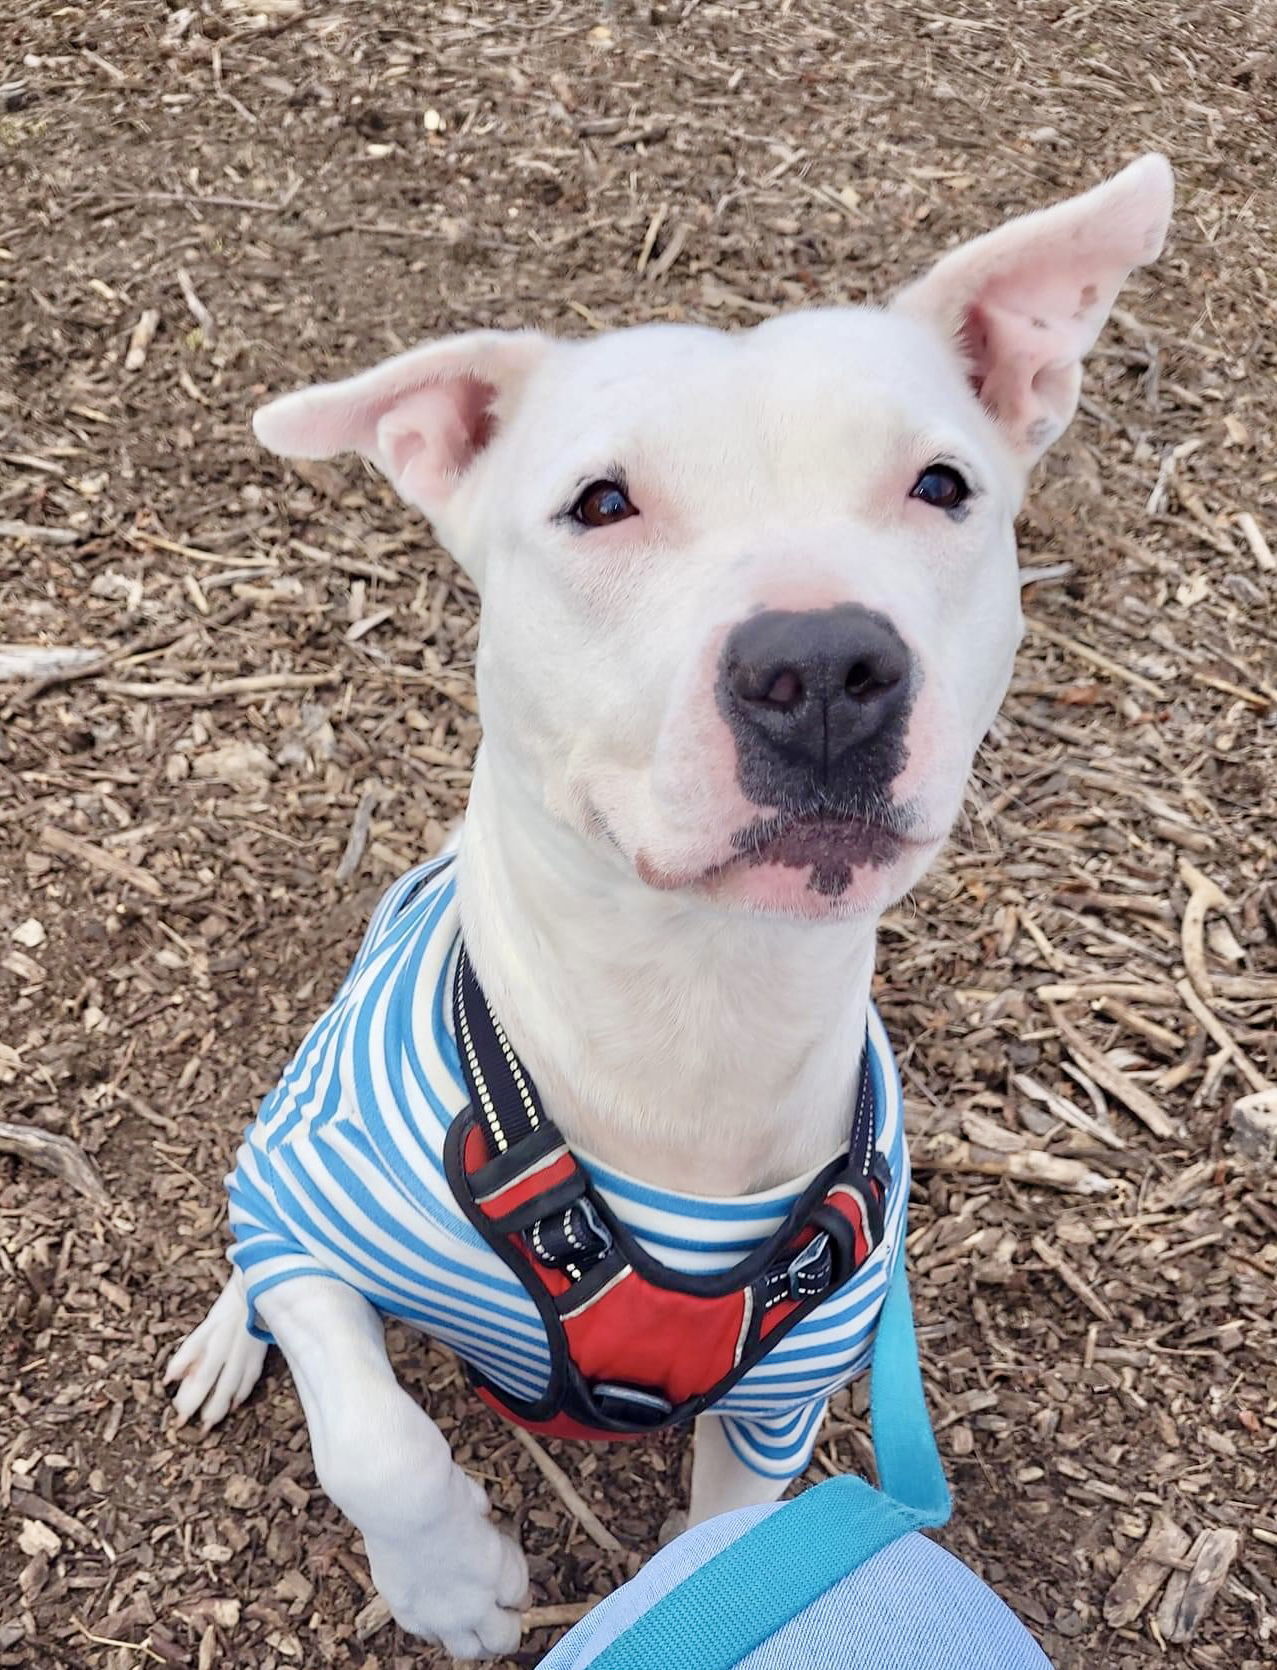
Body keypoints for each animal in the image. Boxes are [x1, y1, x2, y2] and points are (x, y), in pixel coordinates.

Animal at [169, 159, 1175, 1656]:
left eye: (943, 485)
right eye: (600, 504)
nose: (822, 666)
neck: (689, 1000)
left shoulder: (779, 1399)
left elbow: (724, 1539)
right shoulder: (324, 1206)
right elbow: (371, 1431)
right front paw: (454, 1579)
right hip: (288, 1134)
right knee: (257, 1240)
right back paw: (228, 1336)